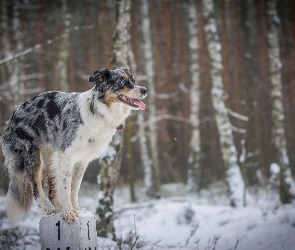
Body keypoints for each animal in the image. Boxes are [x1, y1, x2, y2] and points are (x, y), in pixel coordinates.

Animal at [0, 68, 147, 225]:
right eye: (122, 81)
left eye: (134, 80)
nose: (145, 90)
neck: (98, 111)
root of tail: (15, 112)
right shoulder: (66, 156)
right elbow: (65, 187)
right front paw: (68, 212)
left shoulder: (82, 160)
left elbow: (74, 187)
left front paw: (76, 208)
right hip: (33, 158)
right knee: (36, 188)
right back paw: (49, 209)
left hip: (50, 158)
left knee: (52, 192)